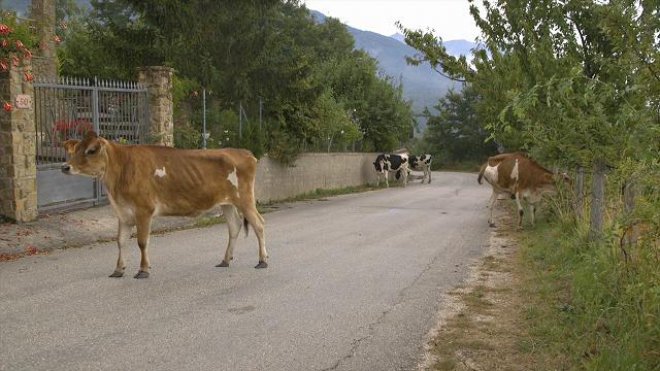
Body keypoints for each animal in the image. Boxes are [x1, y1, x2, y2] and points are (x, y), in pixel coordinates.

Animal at [62, 132, 266, 280]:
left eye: (91, 150)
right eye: (75, 149)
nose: (65, 167)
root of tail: (244, 152)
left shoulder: (144, 210)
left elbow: (142, 241)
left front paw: (143, 270)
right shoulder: (123, 213)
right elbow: (120, 241)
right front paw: (118, 270)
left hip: (245, 198)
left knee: (259, 224)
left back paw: (262, 260)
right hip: (227, 203)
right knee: (234, 226)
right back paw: (225, 260)